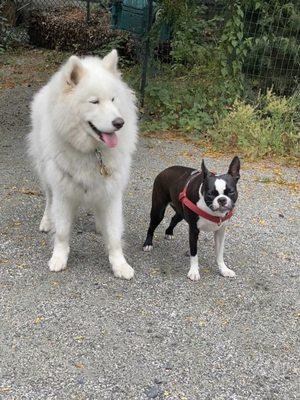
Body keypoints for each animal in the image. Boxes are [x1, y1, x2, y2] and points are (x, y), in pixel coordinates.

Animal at [27, 50, 138, 280]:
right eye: (94, 101)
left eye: (113, 99)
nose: (119, 123)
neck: (93, 152)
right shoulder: (62, 191)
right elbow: (62, 232)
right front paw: (59, 258)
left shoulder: (111, 191)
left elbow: (114, 235)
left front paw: (120, 264)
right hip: (45, 174)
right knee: (48, 200)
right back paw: (46, 221)